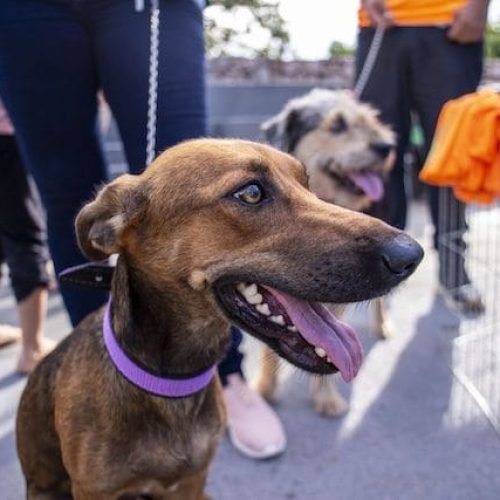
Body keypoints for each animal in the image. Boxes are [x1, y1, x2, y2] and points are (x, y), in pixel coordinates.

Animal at [16, 138, 422, 500]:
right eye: (251, 193)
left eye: (307, 184)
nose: (412, 254)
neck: (170, 383)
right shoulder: (95, 491)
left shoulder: (193, 482)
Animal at [258, 88, 398, 416]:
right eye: (337, 126)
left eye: (369, 121)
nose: (386, 147)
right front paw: (266, 389)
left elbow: (329, 343)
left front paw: (326, 398)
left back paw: (382, 325)